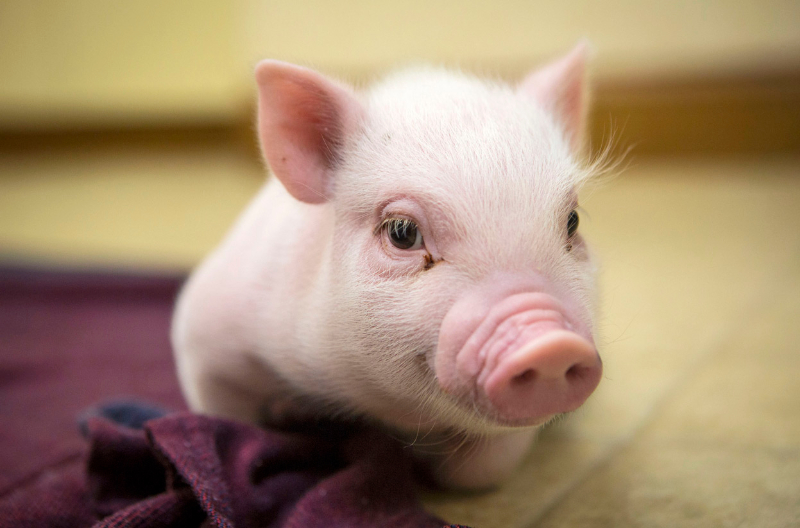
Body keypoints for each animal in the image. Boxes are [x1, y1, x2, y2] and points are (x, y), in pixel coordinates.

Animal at [171, 42, 603, 490]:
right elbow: (228, 417)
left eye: (572, 221)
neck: (376, 408)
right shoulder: (204, 332)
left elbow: (482, 470)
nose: (552, 344)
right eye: (402, 232)